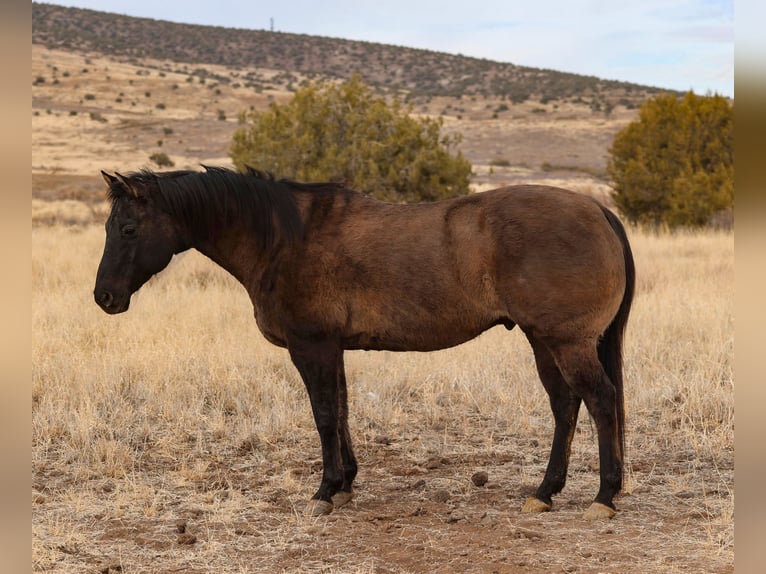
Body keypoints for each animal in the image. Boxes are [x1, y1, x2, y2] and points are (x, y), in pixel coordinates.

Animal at [94, 166, 636, 520]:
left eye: (128, 228)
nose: (104, 297)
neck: (283, 238)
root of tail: (598, 210)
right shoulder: (331, 349)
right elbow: (342, 411)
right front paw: (346, 485)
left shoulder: (311, 346)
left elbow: (324, 415)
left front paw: (324, 491)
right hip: (543, 341)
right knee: (566, 406)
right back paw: (545, 492)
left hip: (566, 343)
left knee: (600, 400)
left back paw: (603, 497)